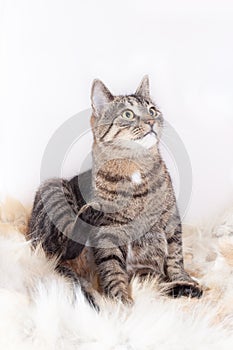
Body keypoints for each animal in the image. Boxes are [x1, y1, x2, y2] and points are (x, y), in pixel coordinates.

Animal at [27, 76, 202, 306]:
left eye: (152, 110)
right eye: (128, 114)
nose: (151, 121)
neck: (135, 167)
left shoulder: (170, 219)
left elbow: (175, 256)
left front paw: (183, 279)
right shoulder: (108, 233)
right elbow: (112, 269)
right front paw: (120, 302)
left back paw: (180, 288)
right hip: (54, 190)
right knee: (62, 253)